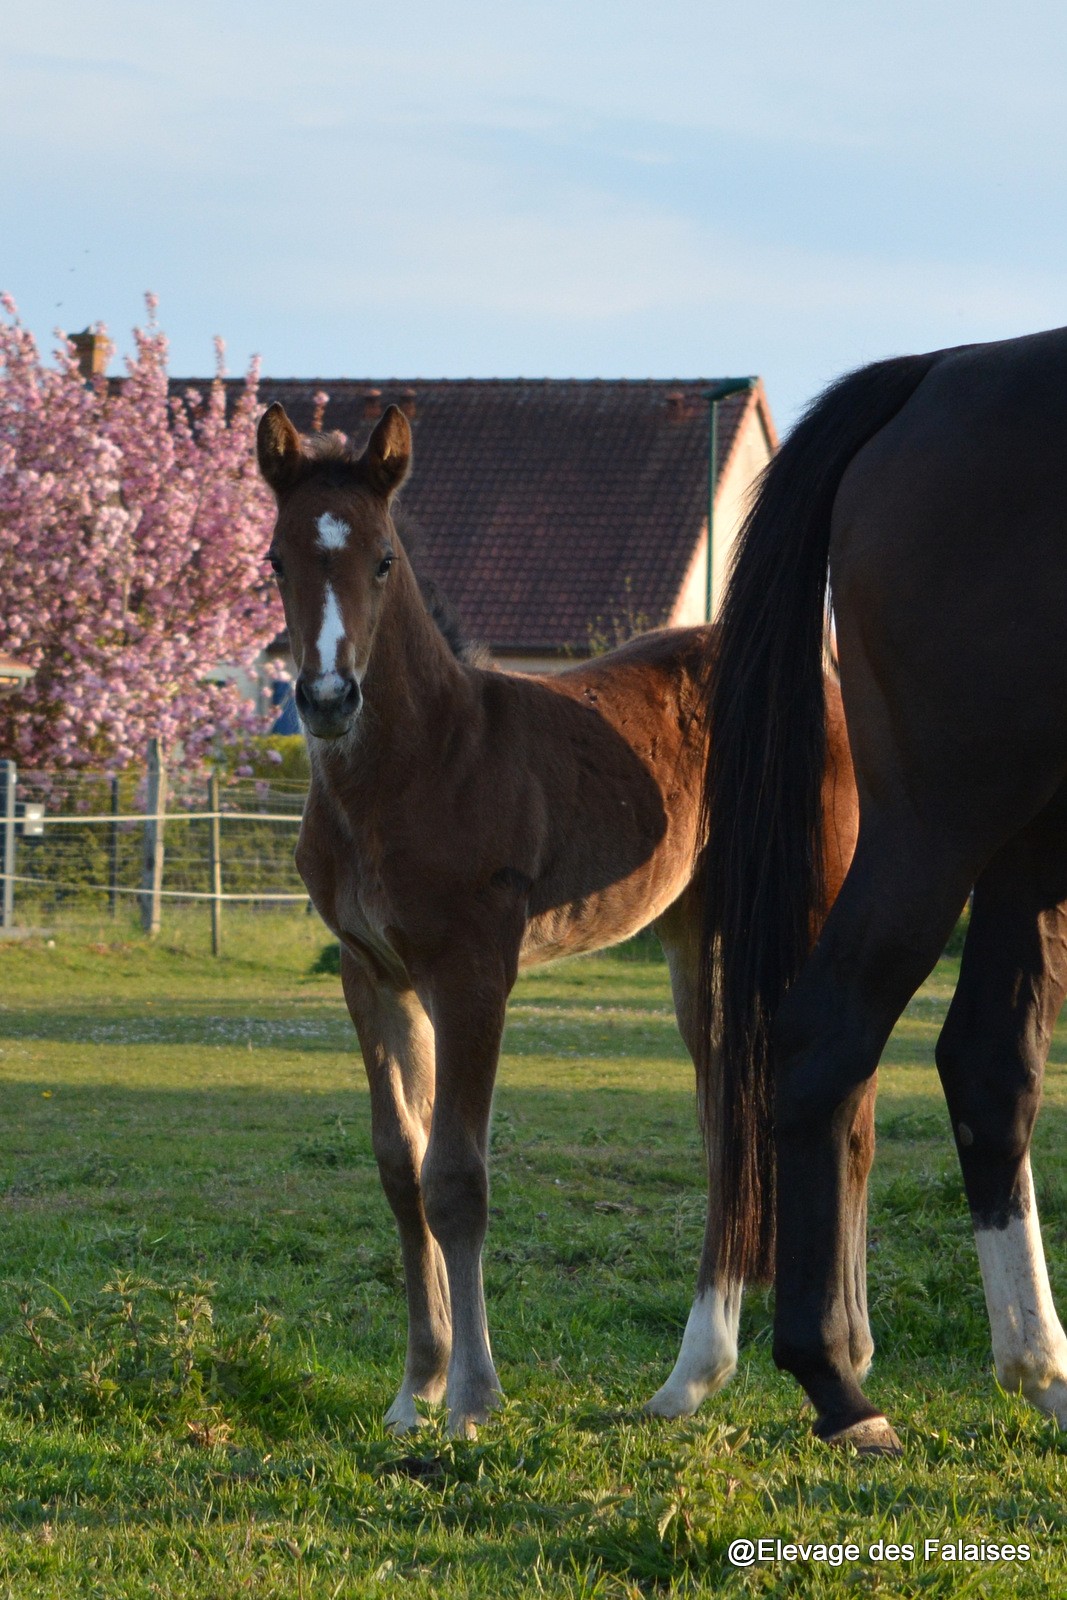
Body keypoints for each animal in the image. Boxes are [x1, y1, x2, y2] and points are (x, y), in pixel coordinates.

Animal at [259, 400, 870, 1440]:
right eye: (273, 559)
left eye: (383, 559)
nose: (328, 698)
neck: (422, 760)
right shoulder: (371, 973)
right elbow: (399, 1168)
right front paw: (415, 1390)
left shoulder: (473, 972)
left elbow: (456, 1178)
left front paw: (472, 1398)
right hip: (700, 936)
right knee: (727, 1121)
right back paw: (693, 1377)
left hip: (810, 905)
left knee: (847, 1108)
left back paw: (848, 1351)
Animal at [703, 331, 1067, 1459]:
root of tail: (940, 369)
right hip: (940, 823)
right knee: (829, 1031)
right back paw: (834, 1382)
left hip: (1021, 843)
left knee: (987, 1063)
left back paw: (1039, 1369)